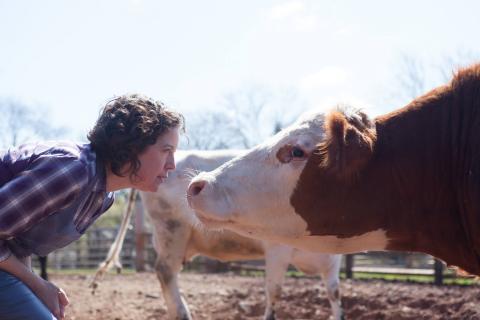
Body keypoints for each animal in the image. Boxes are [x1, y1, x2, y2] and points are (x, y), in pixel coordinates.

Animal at [137, 151, 344, 320]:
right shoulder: (277, 250)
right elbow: (274, 291)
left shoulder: (334, 260)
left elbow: (334, 292)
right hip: (172, 229)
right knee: (165, 271)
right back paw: (182, 313)